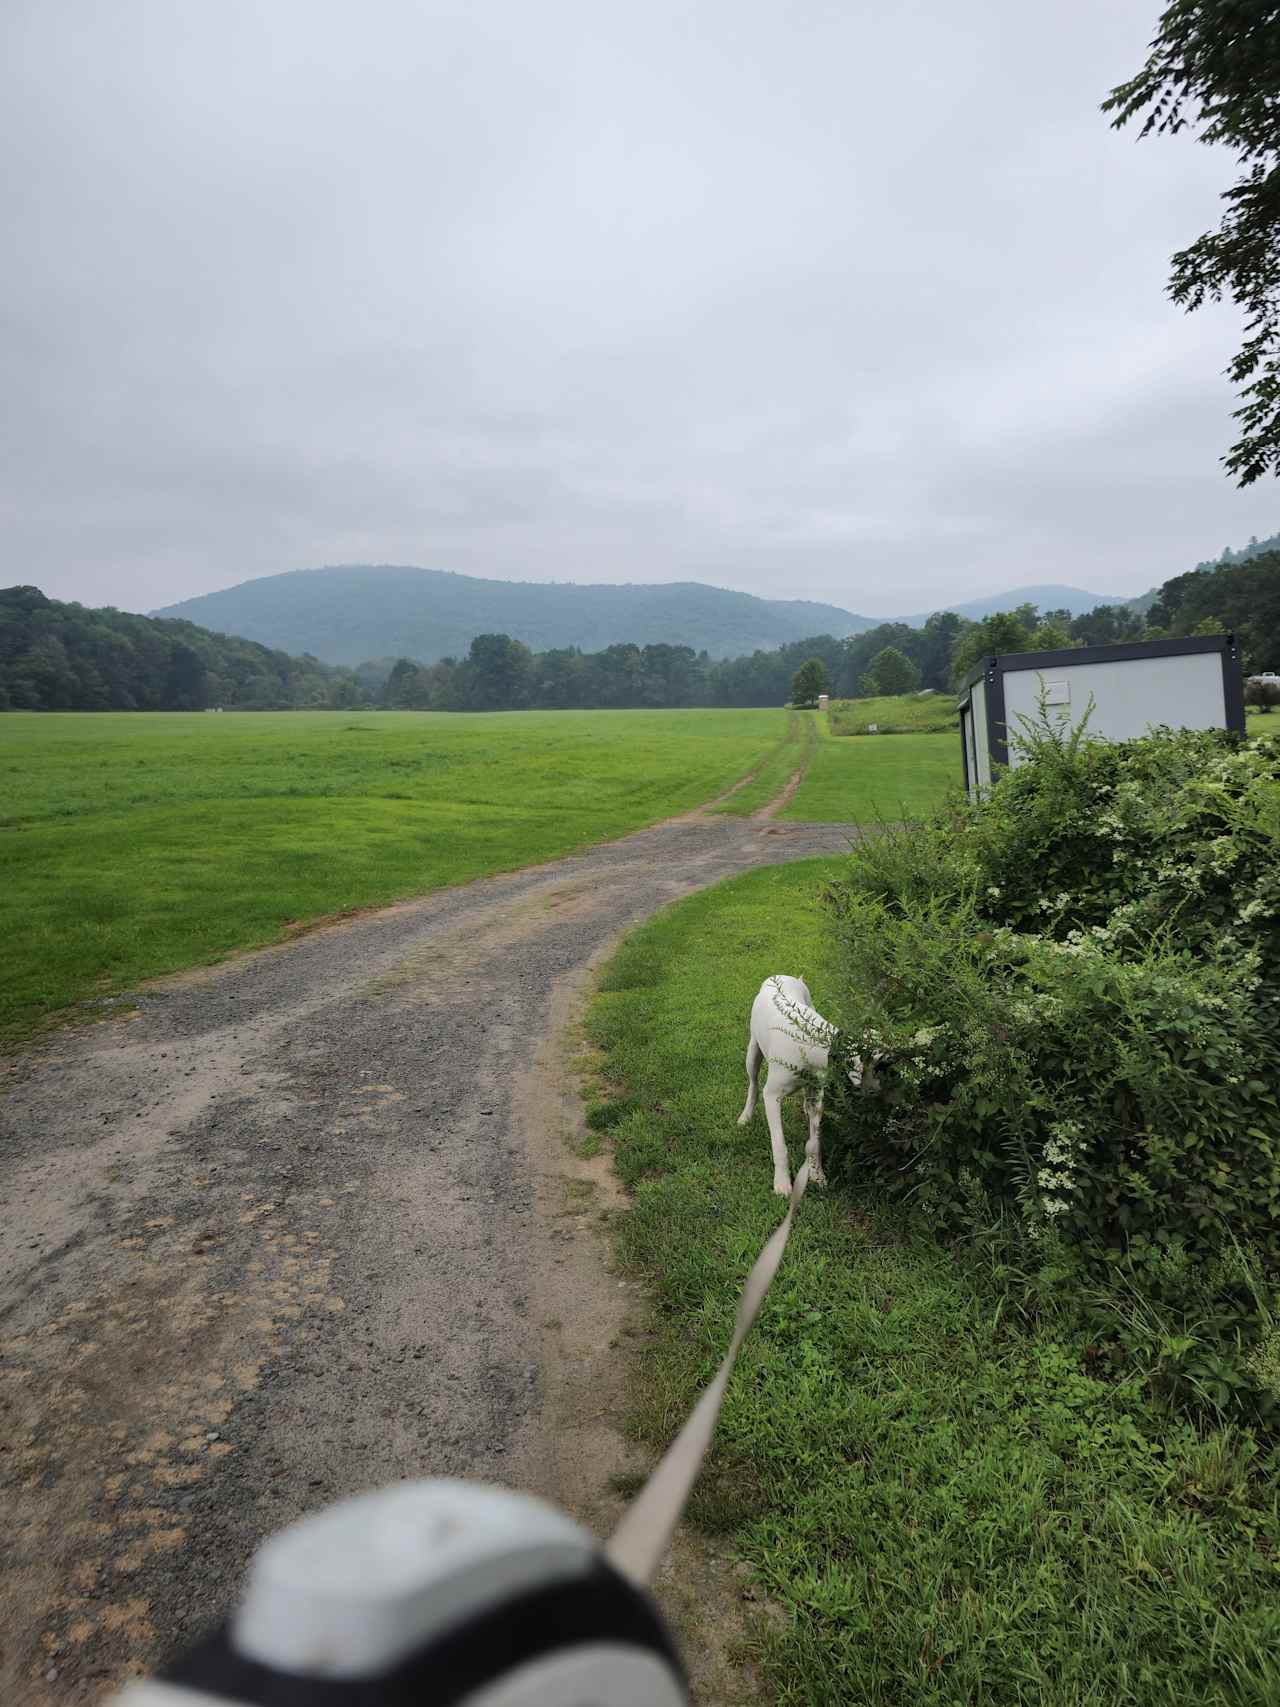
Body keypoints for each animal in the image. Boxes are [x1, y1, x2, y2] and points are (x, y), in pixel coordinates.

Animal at [737, 976, 856, 1201]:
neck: (812, 1043)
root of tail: (779, 975)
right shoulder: (772, 1097)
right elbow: (779, 1146)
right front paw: (782, 1183)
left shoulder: (818, 1097)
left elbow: (815, 1144)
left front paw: (817, 1175)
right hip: (753, 1053)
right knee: (753, 1084)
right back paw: (745, 1116)